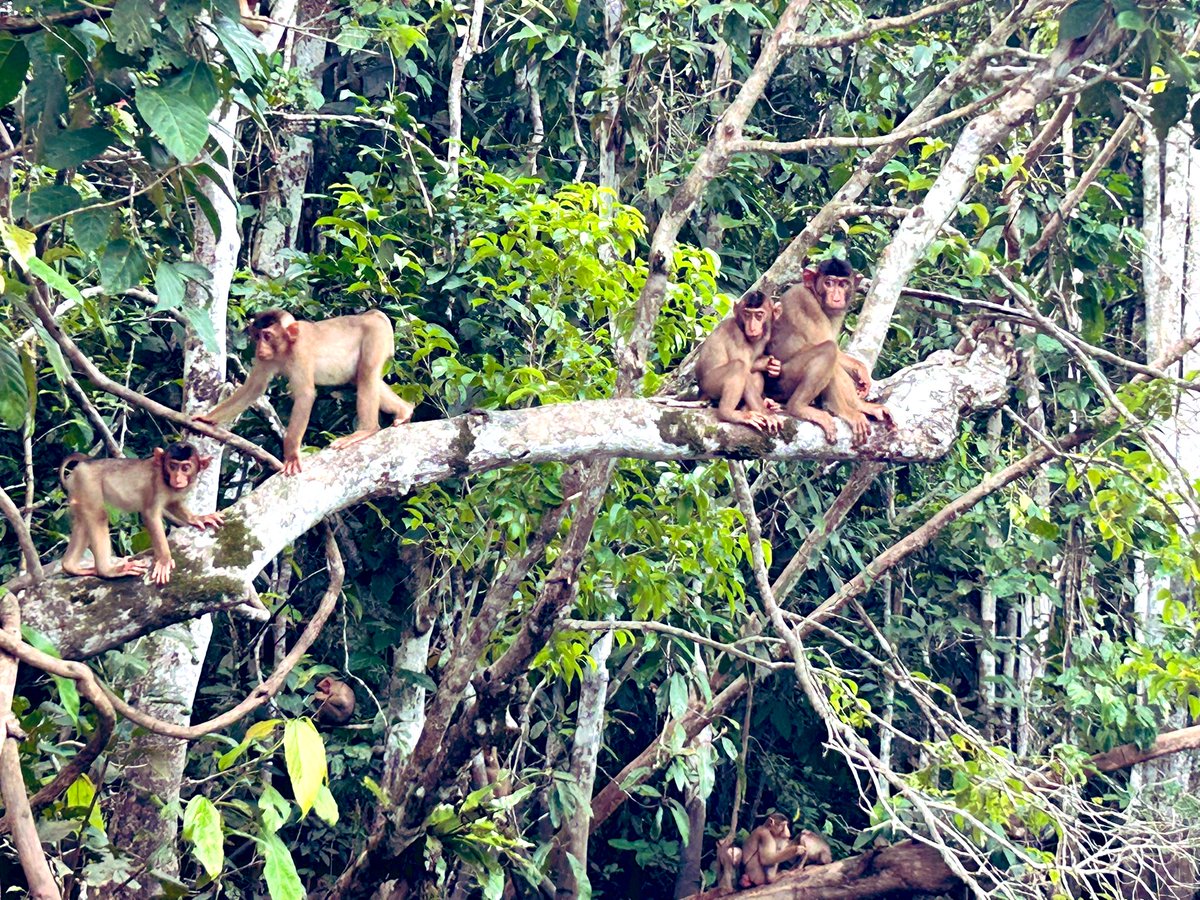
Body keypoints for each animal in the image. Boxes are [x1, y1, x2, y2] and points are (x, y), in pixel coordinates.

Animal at [59, 443, 223, 585]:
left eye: (185, 467)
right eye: (172, 466)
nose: (177, 478)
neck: (165, 478)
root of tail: (83, 466)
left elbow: (173, 504)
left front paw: (198, 518)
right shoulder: (157, 484)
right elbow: (150, 515)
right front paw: (164, 560)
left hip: (78, 490)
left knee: (82, 521)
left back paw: (70, 566)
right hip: (88, 484)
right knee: (98, 516)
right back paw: (107, 570)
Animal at [197, 309, 414, 476]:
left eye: (267, 336)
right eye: (257, 337)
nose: (259, 348)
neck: (286, 349)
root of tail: (372, 314)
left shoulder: (300, 351)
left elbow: (305, 395)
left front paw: (291, 455)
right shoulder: (267, 359)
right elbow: (254, 388)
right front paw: (206, 419)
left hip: (376, 335)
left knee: (367, 373)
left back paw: (366, 430)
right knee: (362, 377)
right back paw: (404, 411)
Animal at [695, 290, 785, 434]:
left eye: (759, 315)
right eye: (747, 314)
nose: (752, 327)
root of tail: (701, 394)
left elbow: (753, 366)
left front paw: (772, 366)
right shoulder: (737, 335)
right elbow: (745, 367)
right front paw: (766, 412)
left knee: (756, 374)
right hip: (709, 386)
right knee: (738, 367)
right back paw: (729, 413)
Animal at [765, 258, 893, 444]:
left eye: (843, 284)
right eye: (829, 283)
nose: (836, 297)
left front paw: (861, 389)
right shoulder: (806, 302)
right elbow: (830, 347)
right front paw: (849, 410)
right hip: (780, 383)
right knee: (828, 351)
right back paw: (800, 407)